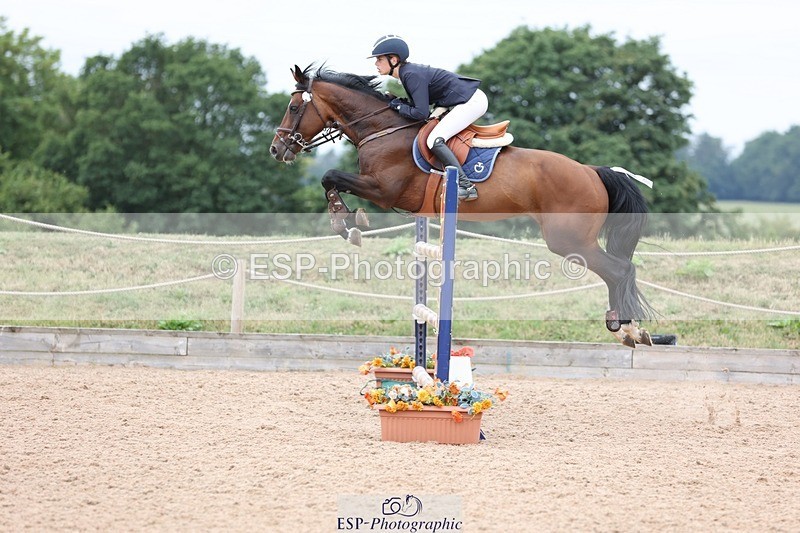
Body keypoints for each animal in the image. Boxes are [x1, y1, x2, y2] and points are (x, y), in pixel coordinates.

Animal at [270, 65, 655, 347]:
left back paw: (626, 327)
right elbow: (331, 180)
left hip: (569, 240)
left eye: (293, 107)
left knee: (619, 270)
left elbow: (330, 176)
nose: (277, 149)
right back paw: (629, 328)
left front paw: (346, 223)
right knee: (620, 270)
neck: (382, 129)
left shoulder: (384, 190)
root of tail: (592, 171)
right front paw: (347, 220)